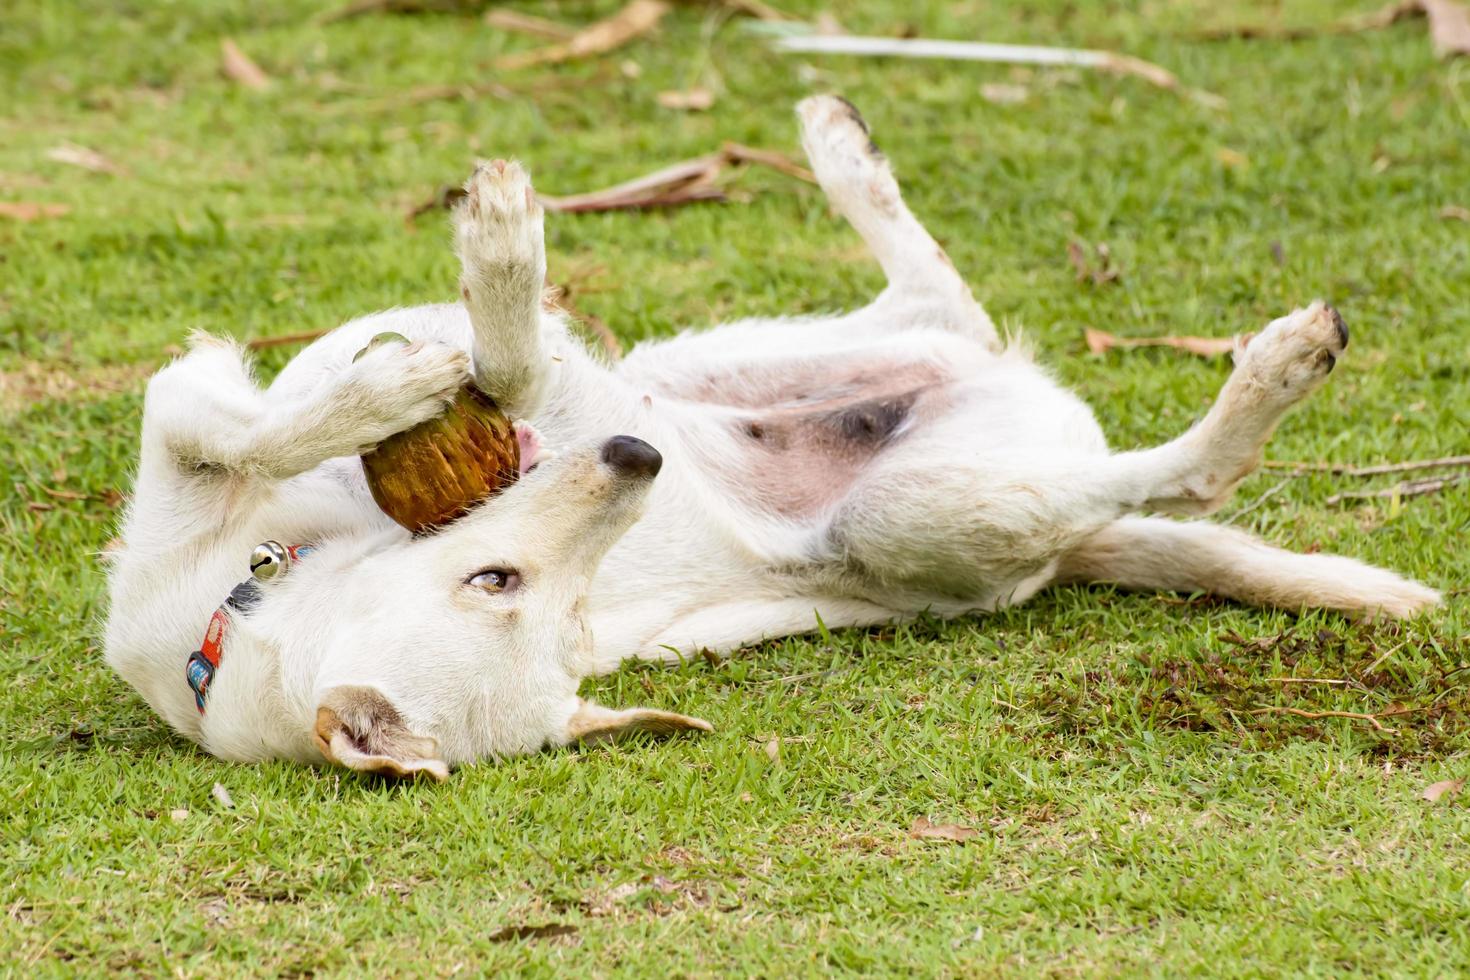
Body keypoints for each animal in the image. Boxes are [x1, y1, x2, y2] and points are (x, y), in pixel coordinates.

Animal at [103, 97, 1434, 781]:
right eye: (506, 585)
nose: (635, 462)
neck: (232, 620)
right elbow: (263, 412)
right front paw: (405, 355)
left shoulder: (202, 417)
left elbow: (256, 411)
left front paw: (395, 369)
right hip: (902, 496)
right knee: (1170, 465)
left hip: (739, 369)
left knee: (958, 317)